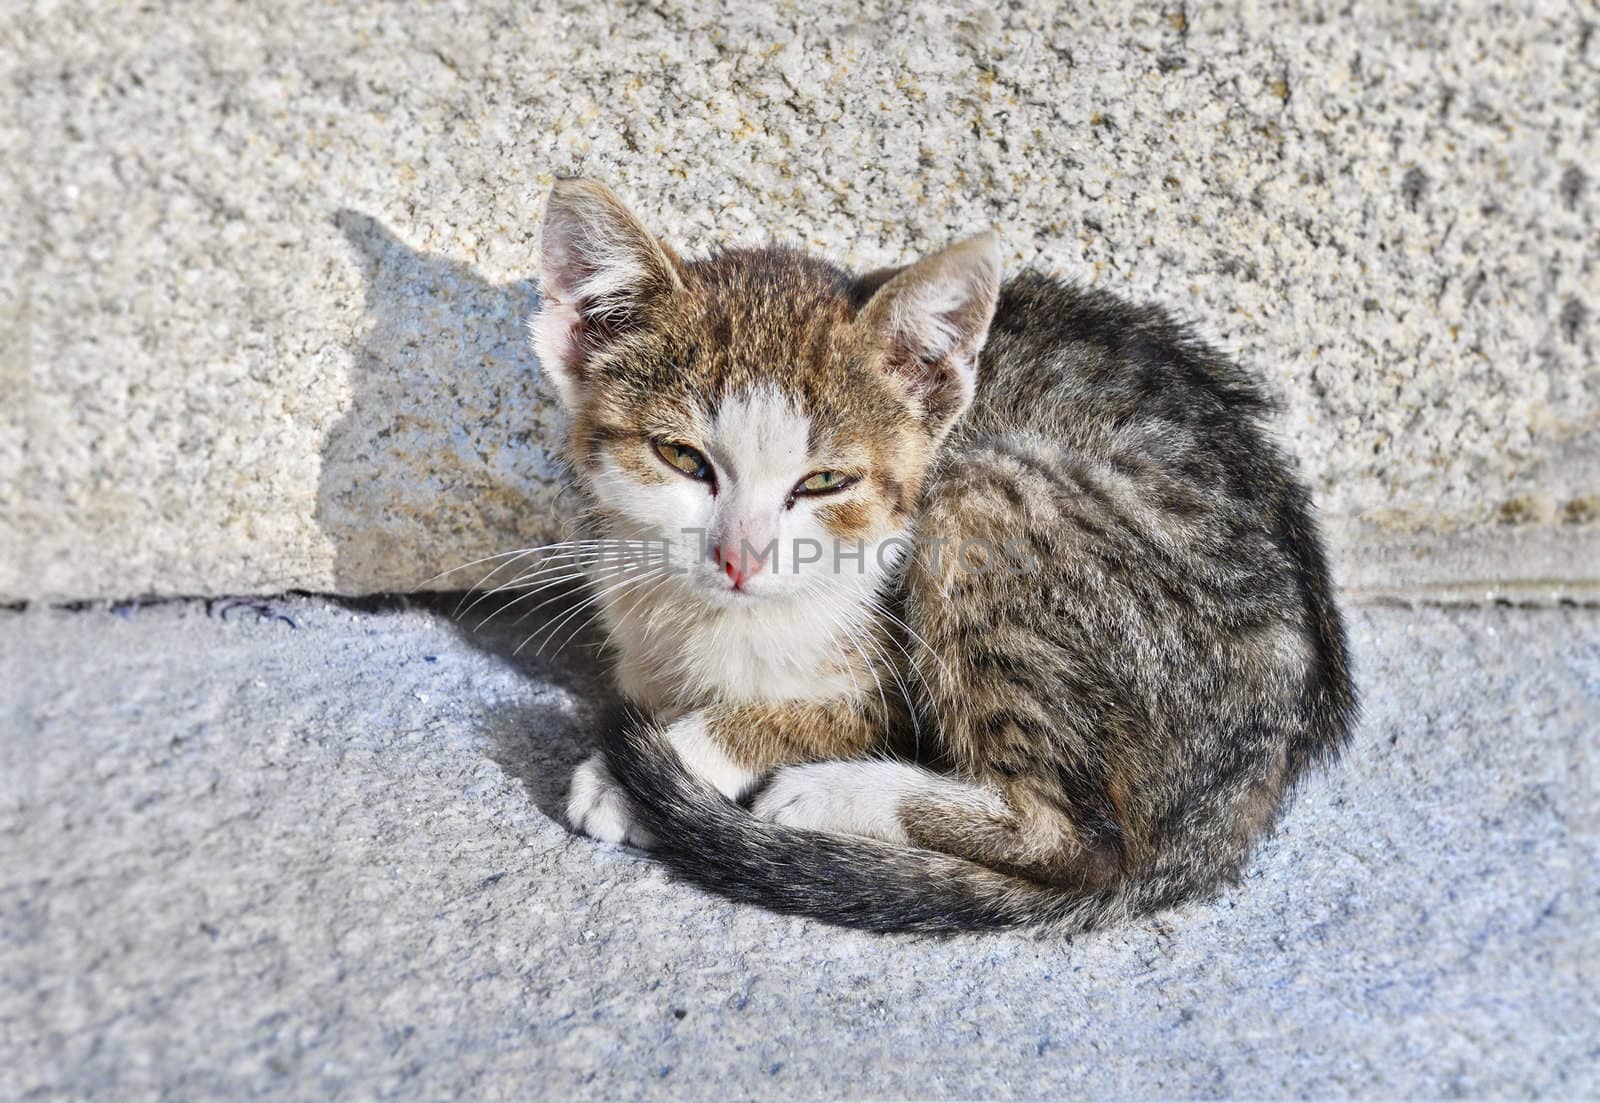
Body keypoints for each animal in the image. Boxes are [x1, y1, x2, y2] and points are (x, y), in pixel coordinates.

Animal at [531, 178, 1356, 928]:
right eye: (681, 457)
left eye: (825, 481)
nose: (742, 559)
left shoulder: (896, 684)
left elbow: (811, 713)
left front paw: (668, 760)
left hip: (983, 491)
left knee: (1084, 840)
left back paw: (838, 794)